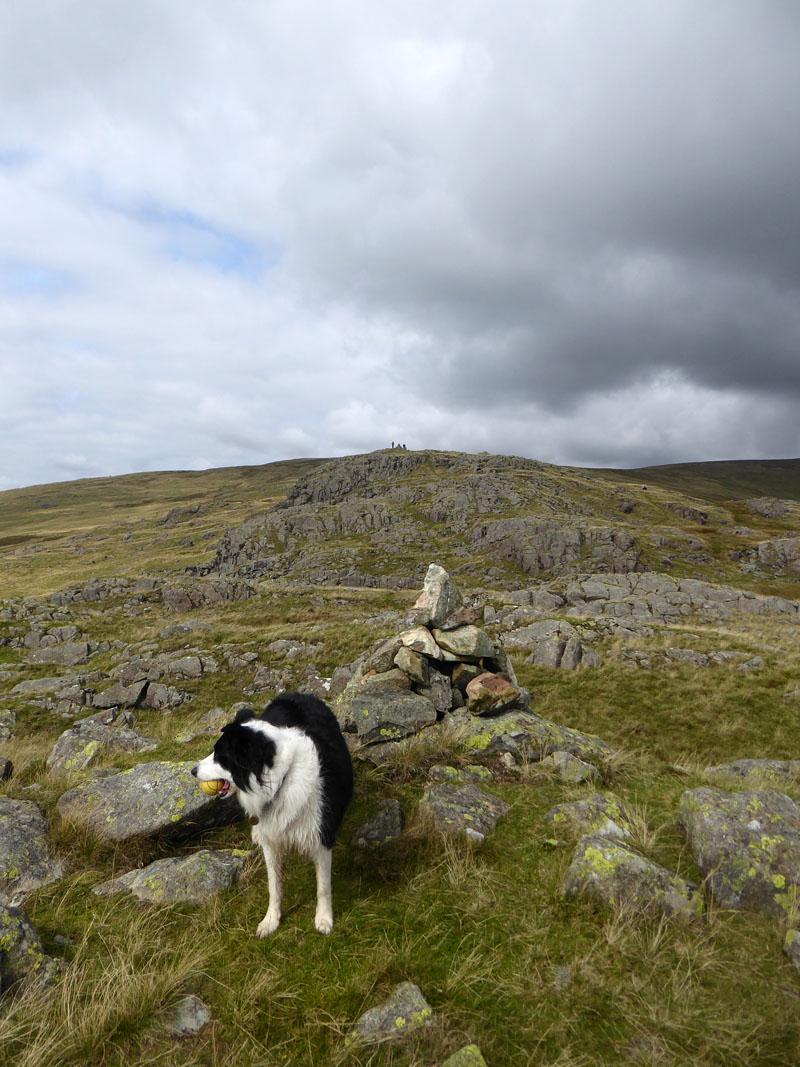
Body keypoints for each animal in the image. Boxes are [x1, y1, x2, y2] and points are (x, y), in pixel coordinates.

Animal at [190, 691, 354, 934]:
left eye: (220, 756)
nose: (193, 770)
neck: (280, 781)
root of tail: (295, 693)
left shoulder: (321, 834)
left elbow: (323, 886)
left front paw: (324, 919)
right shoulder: (270, 837)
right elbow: (274, 885)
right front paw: (271, 920)